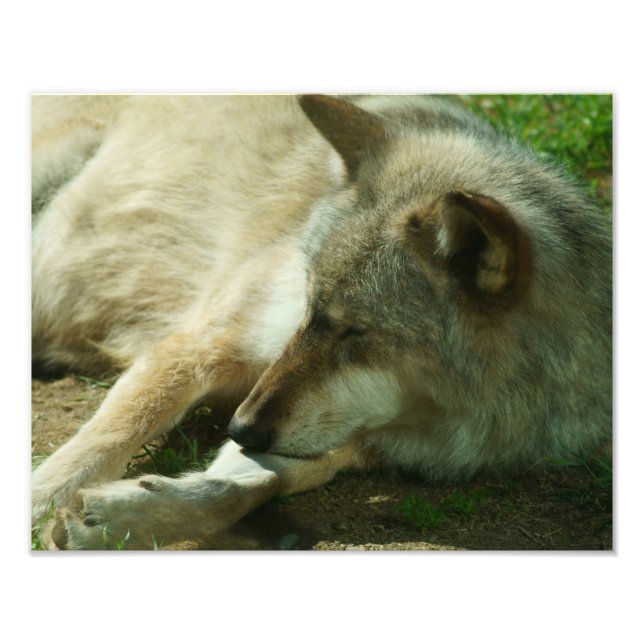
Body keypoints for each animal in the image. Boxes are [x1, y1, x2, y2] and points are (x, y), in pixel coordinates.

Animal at [31, 94, 612, 549]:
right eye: (310, 308)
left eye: (356, 332)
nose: (239, 426)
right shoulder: (202, 345)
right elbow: (109, 434)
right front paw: (42, 500)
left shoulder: (342, 439)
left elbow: (245, 488)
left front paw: (122, 518)